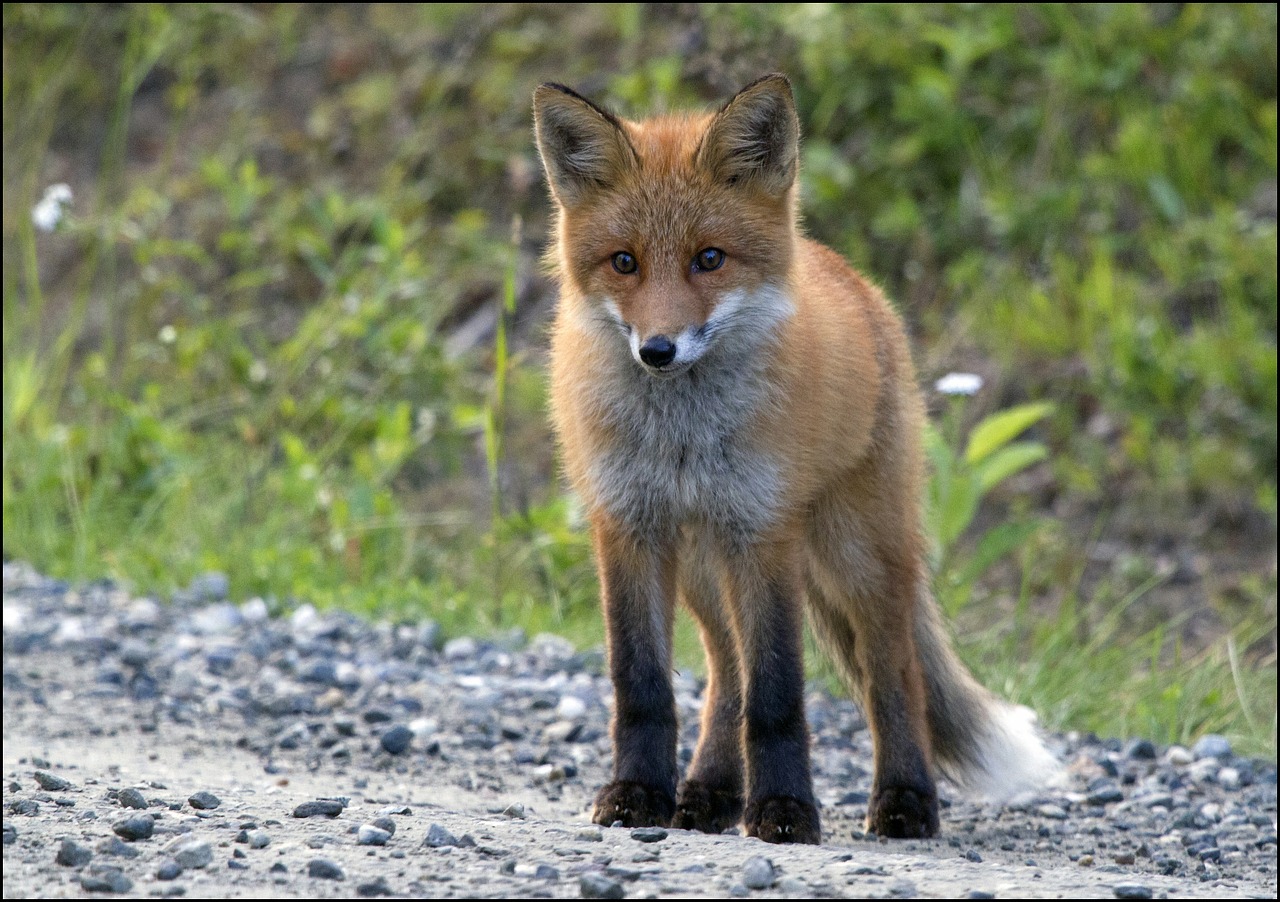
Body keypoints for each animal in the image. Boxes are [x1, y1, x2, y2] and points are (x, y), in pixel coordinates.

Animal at [529, 73, 1059, 839]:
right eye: (624, 262)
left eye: (709, 259)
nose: (657, 350)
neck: (683, 436)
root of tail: (850, 275)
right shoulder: (629, 526)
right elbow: (643, 685)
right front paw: (636, 794)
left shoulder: (763, 530)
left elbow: (778, 693)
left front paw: (784, 810)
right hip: (703, 564)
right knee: (726, 673)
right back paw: (709, 792)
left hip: (854, 553)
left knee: (894, 674)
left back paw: (905, 800)